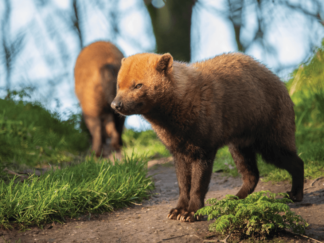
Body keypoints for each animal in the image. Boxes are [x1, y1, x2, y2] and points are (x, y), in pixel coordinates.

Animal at [110, 51, 304, 222]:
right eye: (119, 85)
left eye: (138, 85)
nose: (115, 105)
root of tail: (283, 86)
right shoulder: (179, 153)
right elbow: (183, 185)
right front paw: (177, 210)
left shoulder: (203, 150)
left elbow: (198, 186)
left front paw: (192, 213)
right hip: (239, 147)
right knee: (252, 175)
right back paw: (233, 200)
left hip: (271, 143)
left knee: (297, 162)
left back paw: (295, 195)